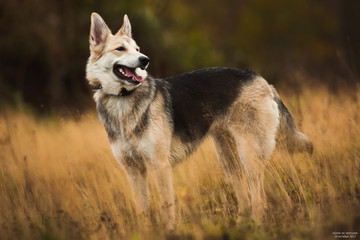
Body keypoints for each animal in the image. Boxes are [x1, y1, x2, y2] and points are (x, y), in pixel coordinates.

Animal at [85, 12, 312, 229]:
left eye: (137, 49)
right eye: (120, 49)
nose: (145, 60)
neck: (122, 101)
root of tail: (264, 81)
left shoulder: (159, 166)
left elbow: (167, 209)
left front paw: (170, 232)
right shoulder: (134, 171)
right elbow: (143, 212)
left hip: (249, 156)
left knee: (259, 198)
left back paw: (256, 226)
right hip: (228, 160)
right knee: (246, 198)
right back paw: (241, 226)